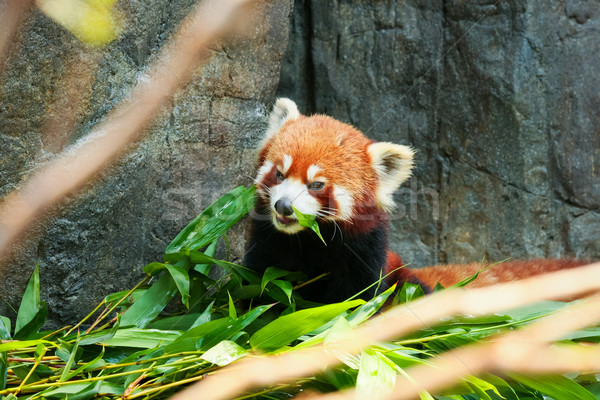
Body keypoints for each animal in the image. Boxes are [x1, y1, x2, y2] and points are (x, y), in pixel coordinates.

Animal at [244, 98, 584, 302]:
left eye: (316, 184)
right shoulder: (268, 248)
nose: (284, 206)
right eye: (279, 174)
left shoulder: (365, 259)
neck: (309, 241)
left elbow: (357, 303)